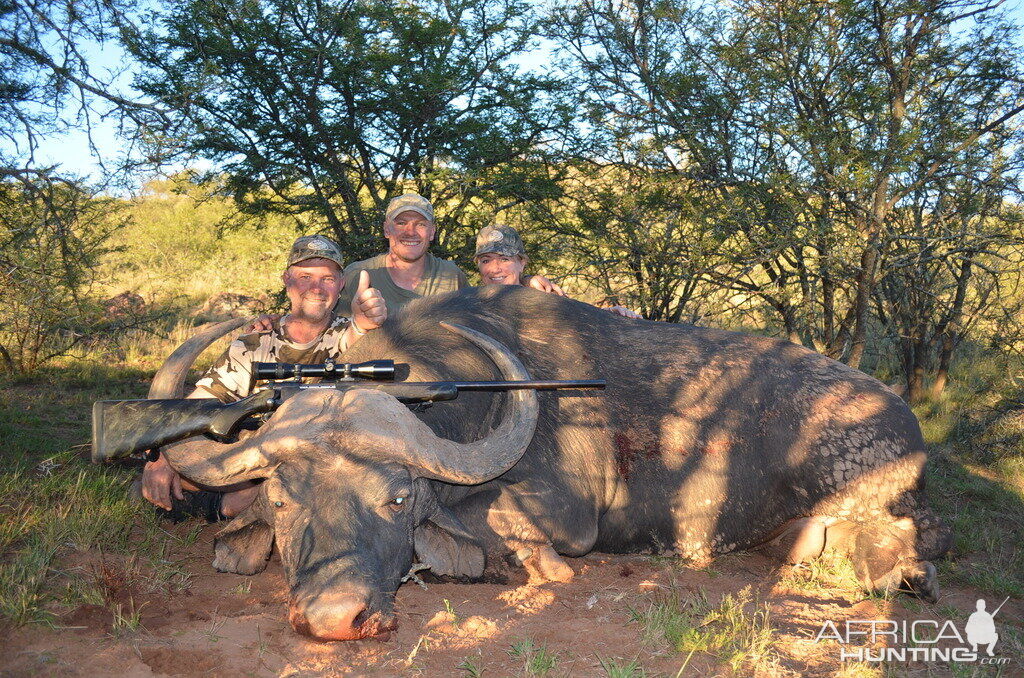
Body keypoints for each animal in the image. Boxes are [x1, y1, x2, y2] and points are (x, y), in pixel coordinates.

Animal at [151, 286, 950, 643]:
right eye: (283, 501)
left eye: (397, 499)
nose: (334, 617)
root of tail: (902, 416)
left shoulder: (567, 516)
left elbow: (502, 527)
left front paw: (525, 564)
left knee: (901, 546)